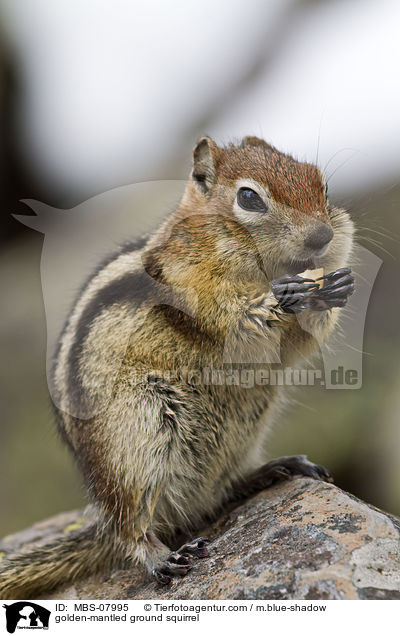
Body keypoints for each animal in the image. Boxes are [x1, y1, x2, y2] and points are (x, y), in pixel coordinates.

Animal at [1, 135, 354, 596]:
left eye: (322, 186)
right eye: (248, 198)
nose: (323, 236)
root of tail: (102, 512)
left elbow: (294, 345)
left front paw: (335, 286)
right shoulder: (190, 285)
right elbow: (236, 324)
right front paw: (285, 296)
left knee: (217, 491)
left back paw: (274, 469)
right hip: (140, 435)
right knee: (131, 527)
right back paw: (160, 556)